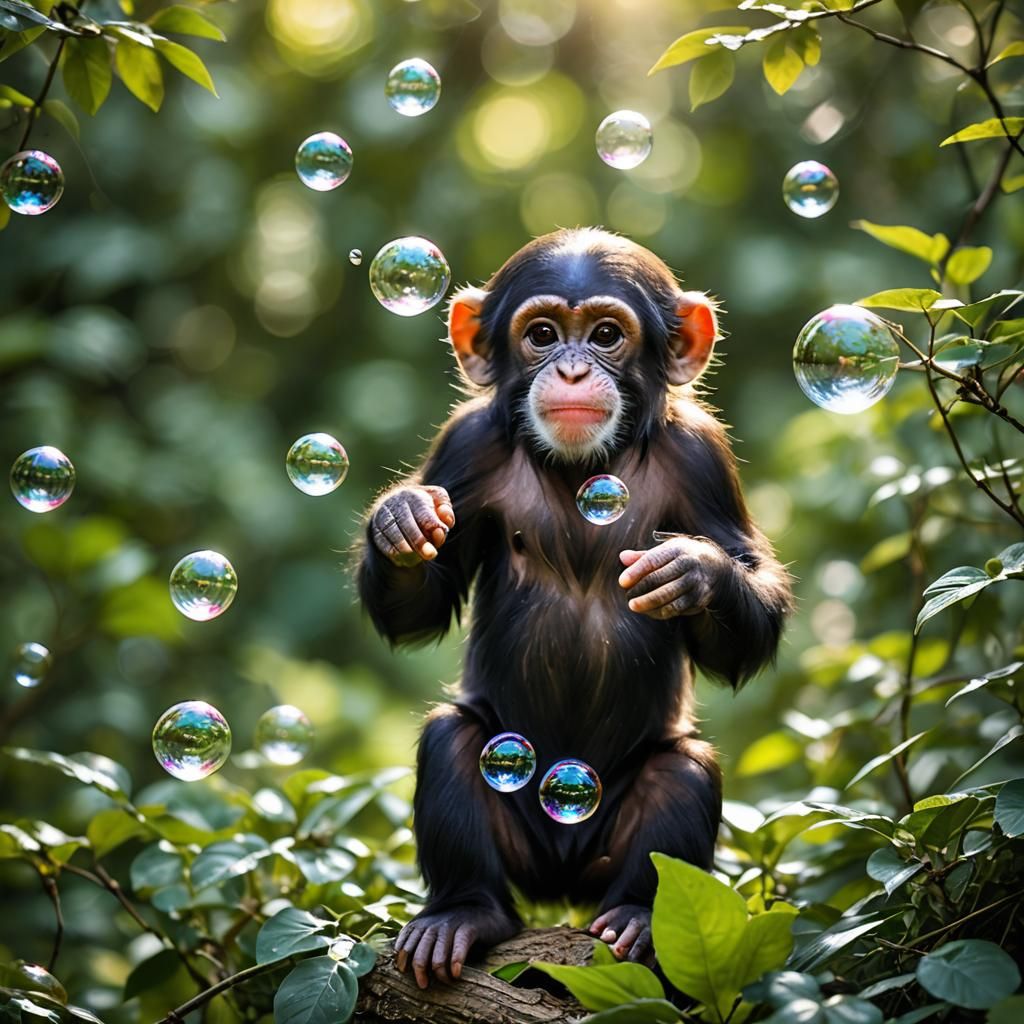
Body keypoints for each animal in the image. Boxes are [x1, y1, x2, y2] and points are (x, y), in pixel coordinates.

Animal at [357, 228, 792, 989]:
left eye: (607, 334)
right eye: (541, 334)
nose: (568, 369)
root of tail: (563, 875)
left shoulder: (703, 456)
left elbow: (749, 602)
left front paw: (696, 571)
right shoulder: (466, 444)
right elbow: (422, 607)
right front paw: (402, 519)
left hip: (611, 854)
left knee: (682, 772)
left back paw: (639, 919)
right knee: (452, 740)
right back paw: (462, 915)